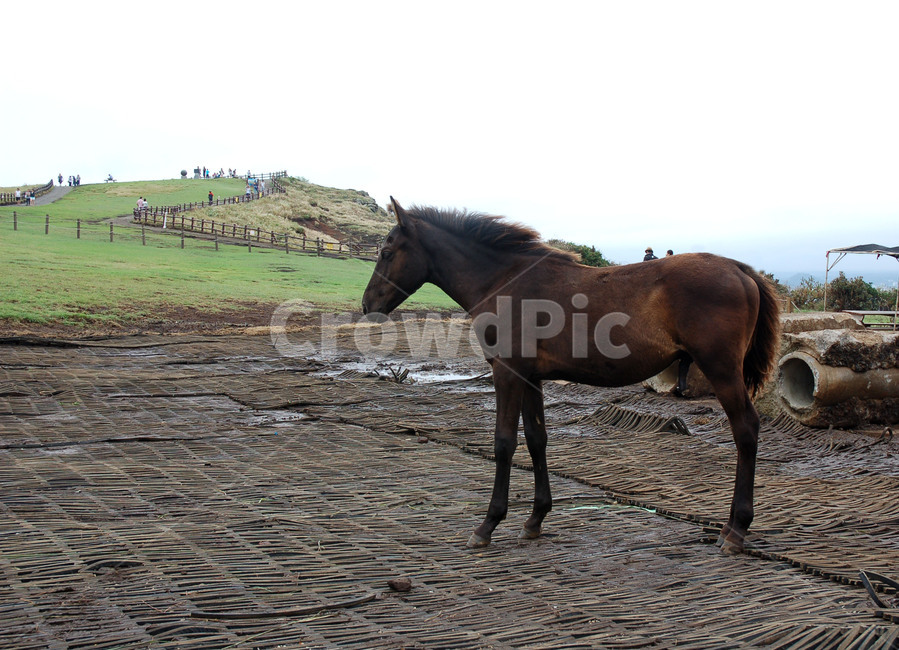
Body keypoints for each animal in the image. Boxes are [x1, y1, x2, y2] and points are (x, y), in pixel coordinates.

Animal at [362, 198, 780, 553]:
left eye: (386, 252)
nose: (367, 305)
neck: (505, 280)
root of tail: (739, 269)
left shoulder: (507, 373)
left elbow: (504, 443)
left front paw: (488, 525)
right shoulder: (530, 377)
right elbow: (536, 440)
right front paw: (535, 519)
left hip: (722, 370)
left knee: (746, 430)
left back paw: (736, 529)